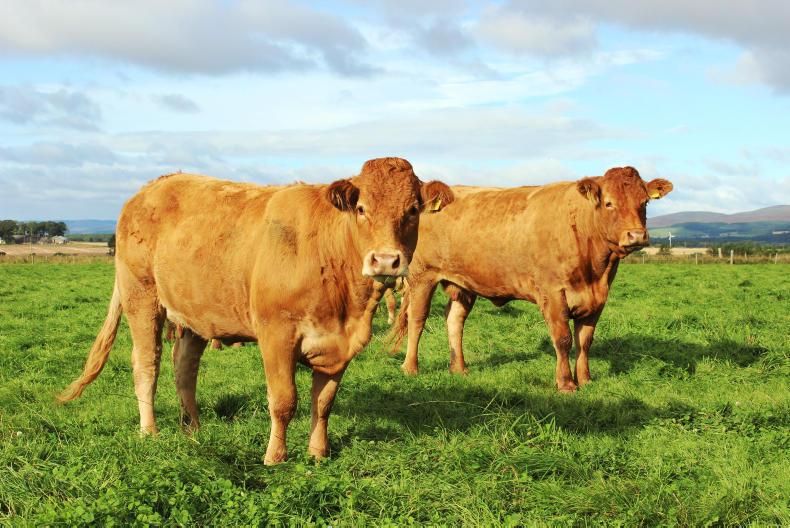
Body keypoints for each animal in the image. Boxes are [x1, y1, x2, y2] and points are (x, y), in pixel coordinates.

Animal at [58, 157, 453, 464]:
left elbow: (324, 402)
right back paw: (150, 431)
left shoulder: (339, 345)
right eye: (361, 209)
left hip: (195, 311)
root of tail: (153, 186)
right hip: (141, 297)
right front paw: (275, 457)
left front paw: (318, 453)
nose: (385, 260)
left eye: (412, 211)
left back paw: (193, 428)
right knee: (146, 364)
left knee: (184, 366)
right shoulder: (276, 334)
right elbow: (284, 401)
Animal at [388, 167, 672, 392]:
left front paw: (586, 380)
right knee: (417, 319)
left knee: (454, 320)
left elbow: (585, 341)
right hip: (422, 276)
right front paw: (566, 383)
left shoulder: (597, 299)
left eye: (644, 203)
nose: (636, 235)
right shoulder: (553, 293)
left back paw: (459, 368)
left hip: (463, 283)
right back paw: (410, 368)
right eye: (609, 203)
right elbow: (563, 339)